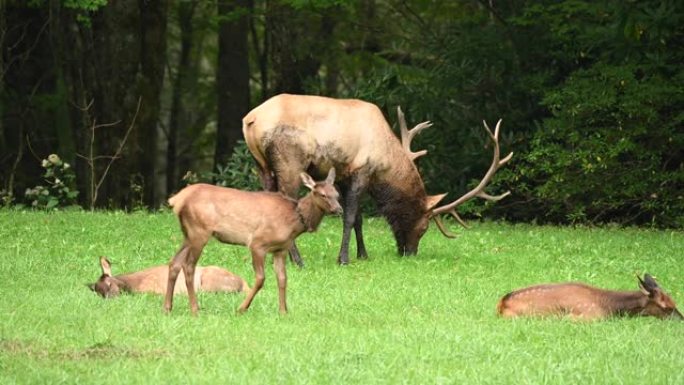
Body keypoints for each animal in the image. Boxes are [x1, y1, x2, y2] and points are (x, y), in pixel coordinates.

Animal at [163, 169, 340, 316]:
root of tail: (177, 200)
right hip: (199, 232)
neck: (294, 223)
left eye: (337, 194)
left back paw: (167, 308)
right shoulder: (257, 244)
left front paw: (283, 311)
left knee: (174, 263)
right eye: (322, 194)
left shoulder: (281, 249)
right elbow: (261, 278)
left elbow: (283, 279)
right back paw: (195, 309)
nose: (339, 209)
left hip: (188, 234)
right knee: (188, 266)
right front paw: (241, 308)